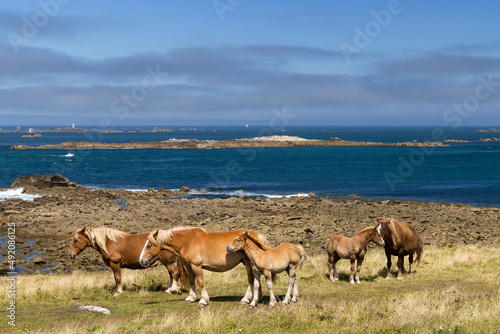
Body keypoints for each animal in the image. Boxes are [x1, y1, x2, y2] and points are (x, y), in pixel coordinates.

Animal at [139, 227, 272, 306]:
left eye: (149, 245)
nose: (141, 261)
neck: (187, 242)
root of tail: (257, 235)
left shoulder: (196, 265)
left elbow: (200, 281)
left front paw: (203, 300)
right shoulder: (189, 266)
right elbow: (192, 281)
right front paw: (191, 298)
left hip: (248, 263)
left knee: (251, 280)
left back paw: (246, 298)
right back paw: (258, 298)